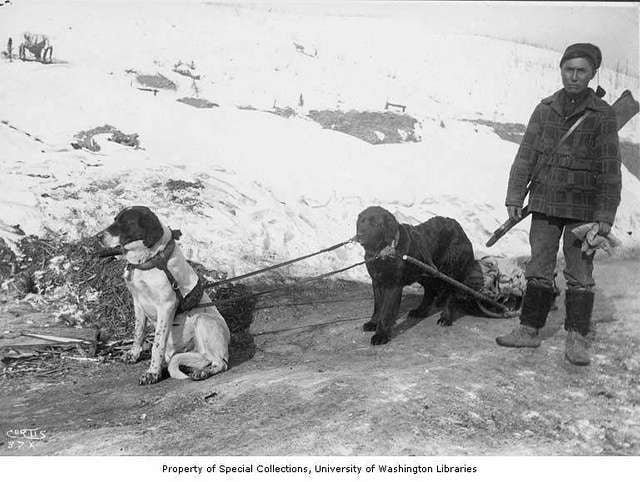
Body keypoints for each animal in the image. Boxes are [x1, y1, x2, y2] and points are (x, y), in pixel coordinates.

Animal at [97, 205, 230, 386]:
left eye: (125, 223)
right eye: (115, 219)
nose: (97, 237)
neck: (148, 262)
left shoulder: (166, 306)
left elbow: (157, 344)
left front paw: (152, 373)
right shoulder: (137, 302)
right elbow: (138, 332)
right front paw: (134, 355)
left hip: (204, 320)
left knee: (220, 362)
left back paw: (203, 372)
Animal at [356, 205, 480, 344]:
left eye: (376, 224)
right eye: (361, 222)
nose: (360, 235)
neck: (384, 252)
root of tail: (461, 230)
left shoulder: (393, 285)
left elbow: (386, 311)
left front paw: (381, 335)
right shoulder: (377, 281)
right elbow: (378, 306)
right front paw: (373, 323)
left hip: (451, 272)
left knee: (449, 295)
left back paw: (445, 318)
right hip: (425, 272)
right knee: (430, 292)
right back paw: (420, 311)